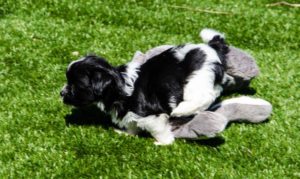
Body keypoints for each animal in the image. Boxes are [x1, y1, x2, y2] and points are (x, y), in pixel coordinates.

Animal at [60, 28, 234, 145]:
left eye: (75, 85)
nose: (61, 93)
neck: (118, 86)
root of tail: (211, 47)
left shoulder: (151, 115)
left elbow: (158, 128)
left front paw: (163, 142)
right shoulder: (130, 113)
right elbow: (131, 123)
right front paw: (127, 133)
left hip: (198, 78)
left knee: (205, 96)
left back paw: (182, 110)